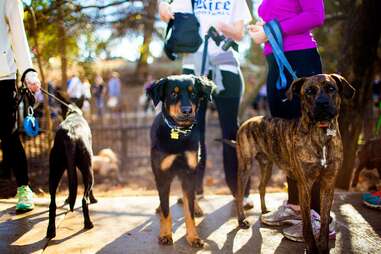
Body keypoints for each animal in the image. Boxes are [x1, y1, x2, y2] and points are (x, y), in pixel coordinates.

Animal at [46, 104, 96, 238]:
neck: (74, 113)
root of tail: (70, 134)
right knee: (84, 200)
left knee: (52, 204)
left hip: (54, 171)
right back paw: (88, 224)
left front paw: (68, 199)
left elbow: (71, 187)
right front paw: (94, 199)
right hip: (88, 171)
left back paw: (50, 231)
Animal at [147, 74, 215, 248]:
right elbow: (166, 211)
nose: (187, 110)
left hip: (200, 165)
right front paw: (165, 235)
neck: (178, 134)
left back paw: (197, 206)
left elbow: (189, 212)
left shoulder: (189, 173)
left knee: (194, 193)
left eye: (193, 93)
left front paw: (193, 237)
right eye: (173, 93)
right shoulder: (162, 174)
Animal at [236, 74, 354, 254]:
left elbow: (324, 223)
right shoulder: (304, 185)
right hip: (245, 166)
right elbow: (307, 226)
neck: (321, 133)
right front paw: (311, 248)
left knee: (261, 187)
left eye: (331, 88)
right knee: (239, 192)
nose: (322, 103)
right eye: (309, 91)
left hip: (267, 166)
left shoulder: (328, 184)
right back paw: (242, 220)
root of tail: (248, 120)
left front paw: (323, 247)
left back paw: (264, 211)